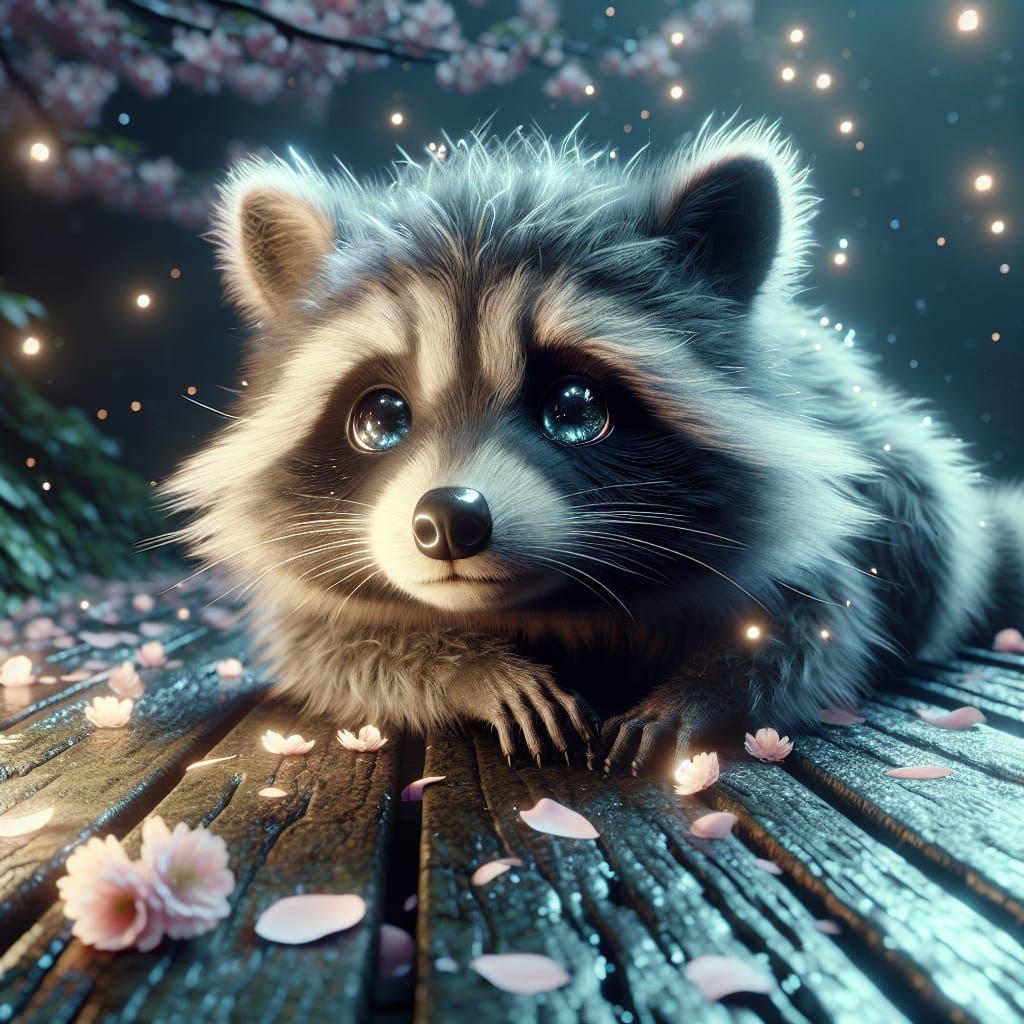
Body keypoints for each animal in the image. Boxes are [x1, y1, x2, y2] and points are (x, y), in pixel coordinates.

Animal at [166, 121, 1024, 775]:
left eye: (576, 409)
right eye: (381, 418)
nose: (448, 519)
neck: (556, 605)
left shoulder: (820, 541)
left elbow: (811, 634)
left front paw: (702, 693)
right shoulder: (315, 601)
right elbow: (338, 649)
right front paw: (472, 670)